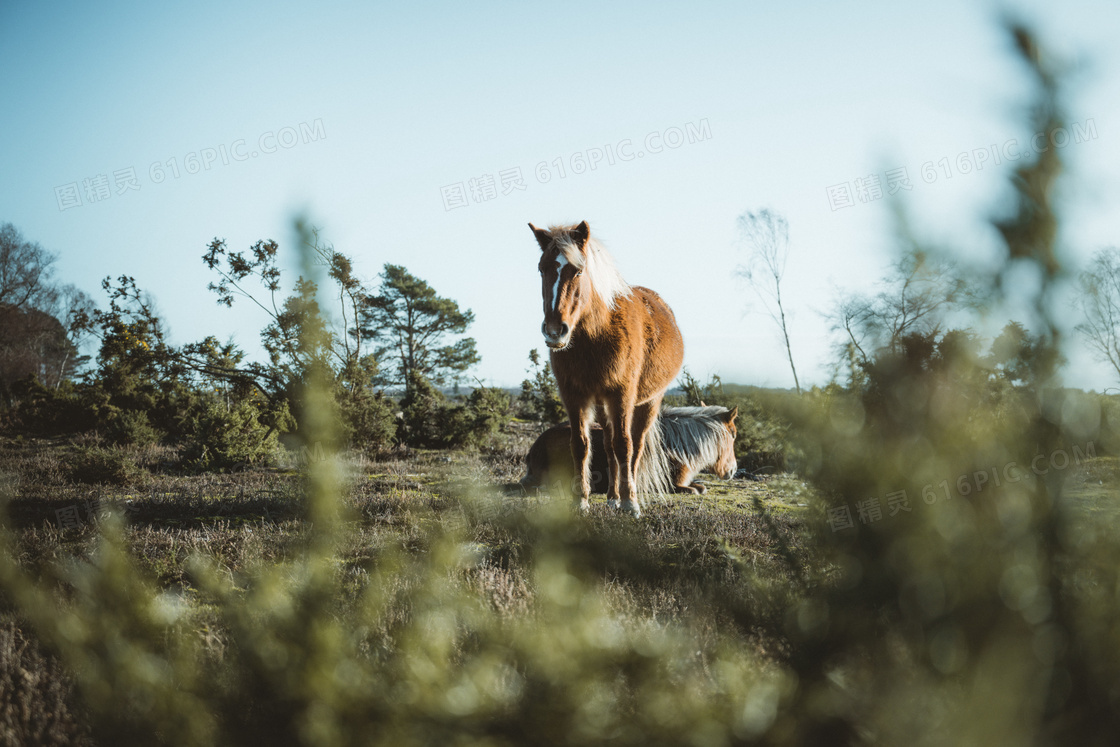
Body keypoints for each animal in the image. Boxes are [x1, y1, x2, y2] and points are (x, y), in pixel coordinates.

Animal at [517, 403, 743, 497]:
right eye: (733, 434)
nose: (733, 470)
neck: (674, 446)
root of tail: (535, 448)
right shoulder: (670, 485)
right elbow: (697, 489)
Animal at [528, 219, 685, 517]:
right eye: (541, 268)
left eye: (577, 271)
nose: (554, 331)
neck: (595, 335)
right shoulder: (574, 395)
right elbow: (581, 445)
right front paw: (581, 501)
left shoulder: (621, 395)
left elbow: (625, 446)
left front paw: (630, 503)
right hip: (603, 406)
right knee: (609, 444)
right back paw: (612, 496)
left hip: (647, 402)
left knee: (634, 447)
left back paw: (626, 495)